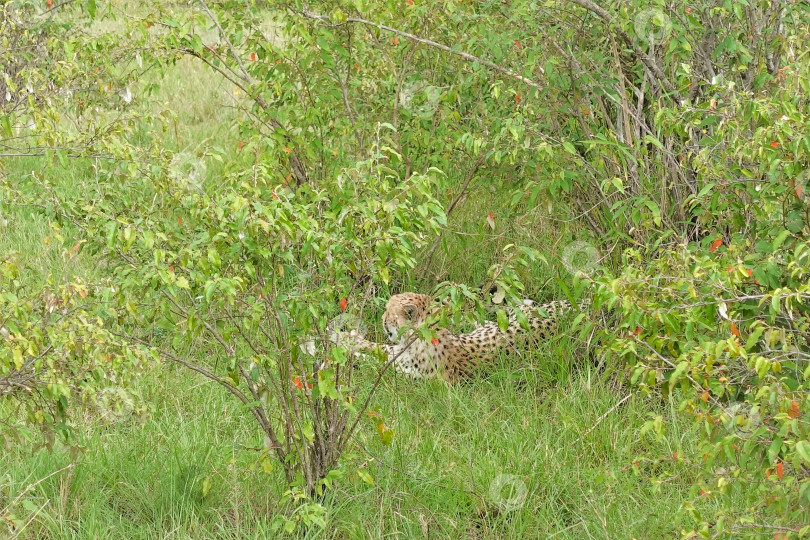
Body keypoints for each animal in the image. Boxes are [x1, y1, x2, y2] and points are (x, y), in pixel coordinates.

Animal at [348, 294, 580, 382]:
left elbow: (375, 362)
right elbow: (377, 348)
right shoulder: (398, 354)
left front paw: (351, 351)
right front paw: (349, 339)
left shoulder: (413, 375)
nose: (382, 319)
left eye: (389, 311)